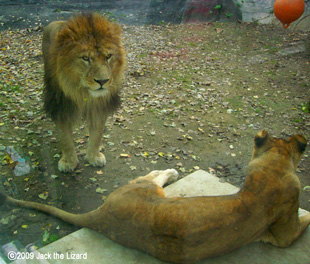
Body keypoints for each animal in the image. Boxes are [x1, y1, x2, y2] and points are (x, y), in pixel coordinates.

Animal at [0, 131, 310, 262]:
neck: (274, 167)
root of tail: (102, 215)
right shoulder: (284, 235)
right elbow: (303, 223)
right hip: (149, 190)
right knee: (151, 176)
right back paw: (171, 171)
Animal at [42, 13, 124, 172]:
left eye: (108, 56)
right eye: (85, 58)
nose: (103, 81)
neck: (83, 94)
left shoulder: (100, 107)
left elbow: (97, 135)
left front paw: (94, 157)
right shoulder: (62, 107)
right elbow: (65, 138)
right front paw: (68, 162)